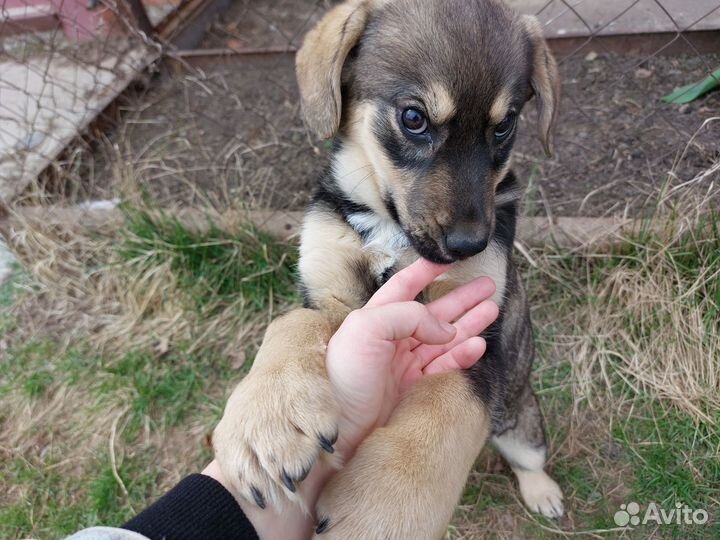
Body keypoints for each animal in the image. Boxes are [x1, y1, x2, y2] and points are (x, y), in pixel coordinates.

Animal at [212, 1, 564, 536]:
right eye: (414, 118)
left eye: (504, 126)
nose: (469, 245)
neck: (390, 228)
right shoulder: (333, 296)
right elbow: (291, 321)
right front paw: (269, 419)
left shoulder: (475, 334)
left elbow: (448, 405)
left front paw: (385, 504)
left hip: (520, 418)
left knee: (528, 458)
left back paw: (543, 493)